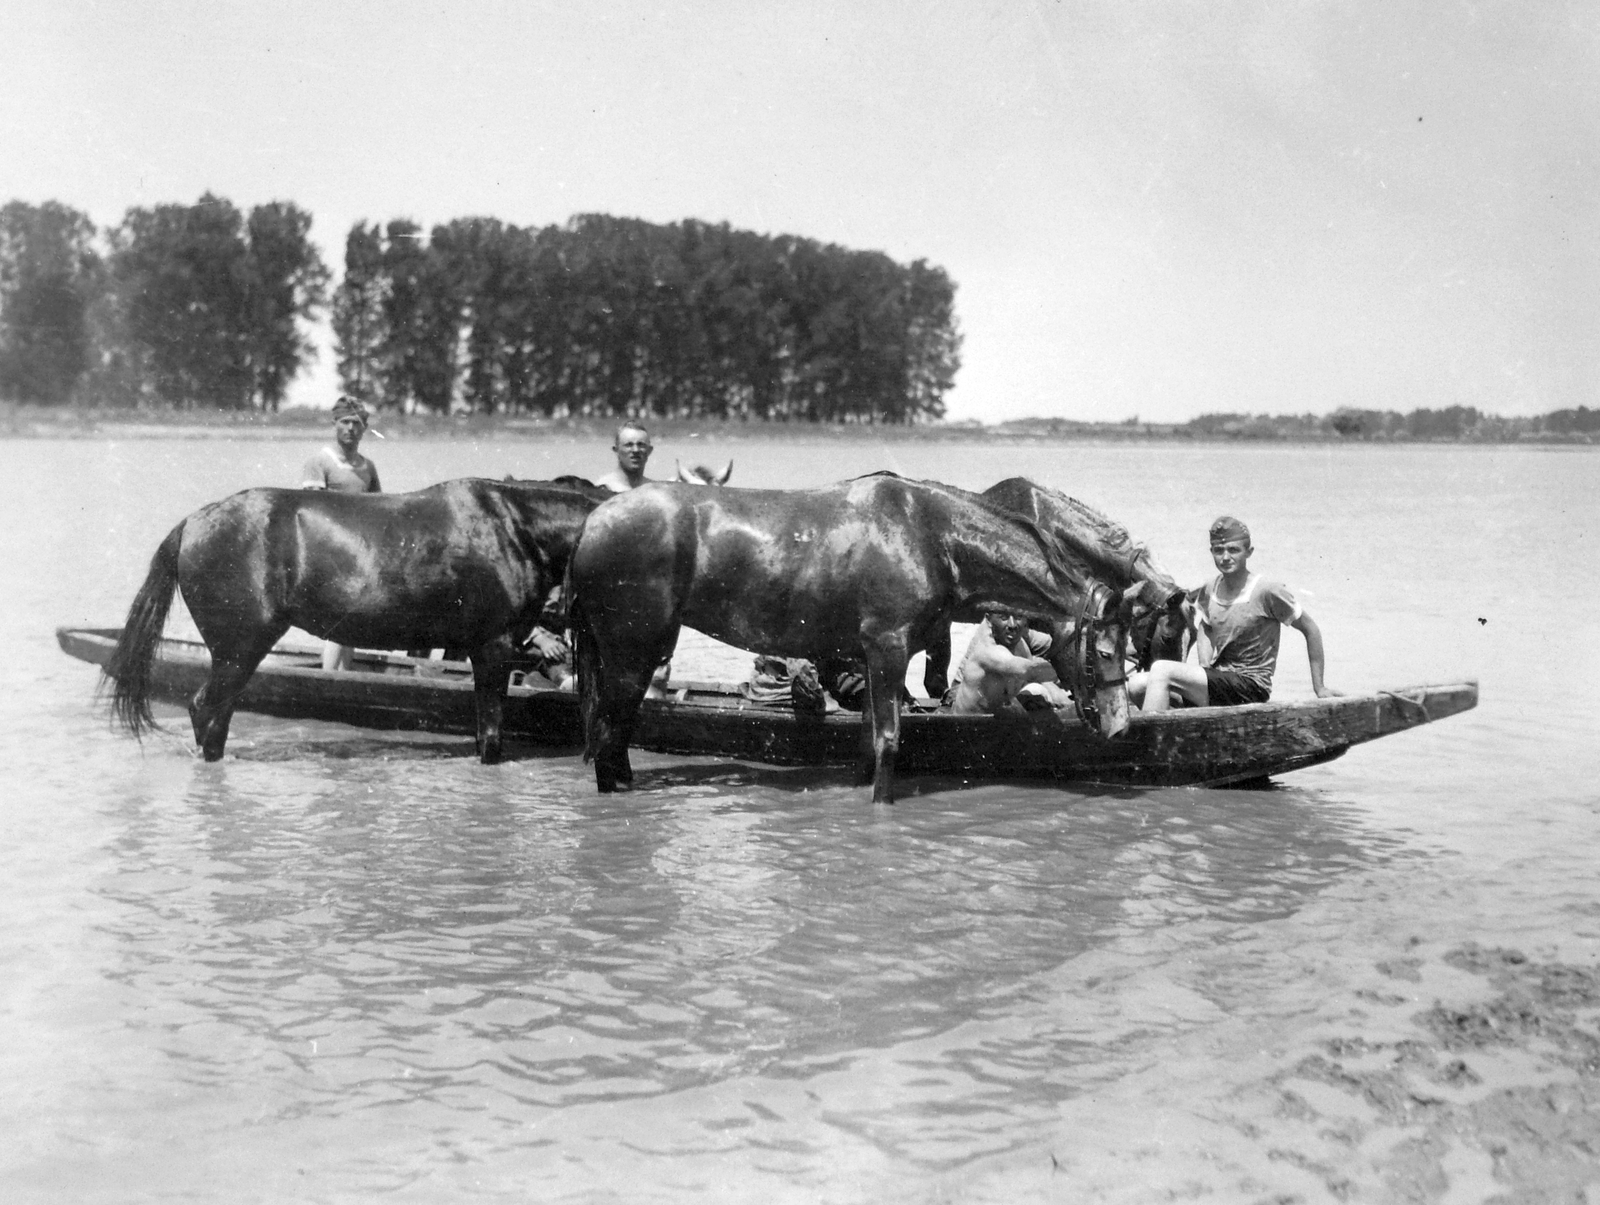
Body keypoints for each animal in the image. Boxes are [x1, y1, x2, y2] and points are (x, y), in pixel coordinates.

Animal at [105, 478, 609, 764]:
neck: (516, 529)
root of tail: (193, 523)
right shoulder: (493, 649)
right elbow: (489, 738)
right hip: (238, 651)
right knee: (205, 710)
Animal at [566, 475, 1135, 804]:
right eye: (1105, 652)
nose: (1121, 727)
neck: (933, 537)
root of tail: (592, 522)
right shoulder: (886, 650)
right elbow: (889, 741)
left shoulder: (869, 659)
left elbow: (867, 741)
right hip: (629, 651)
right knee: (607, 732)